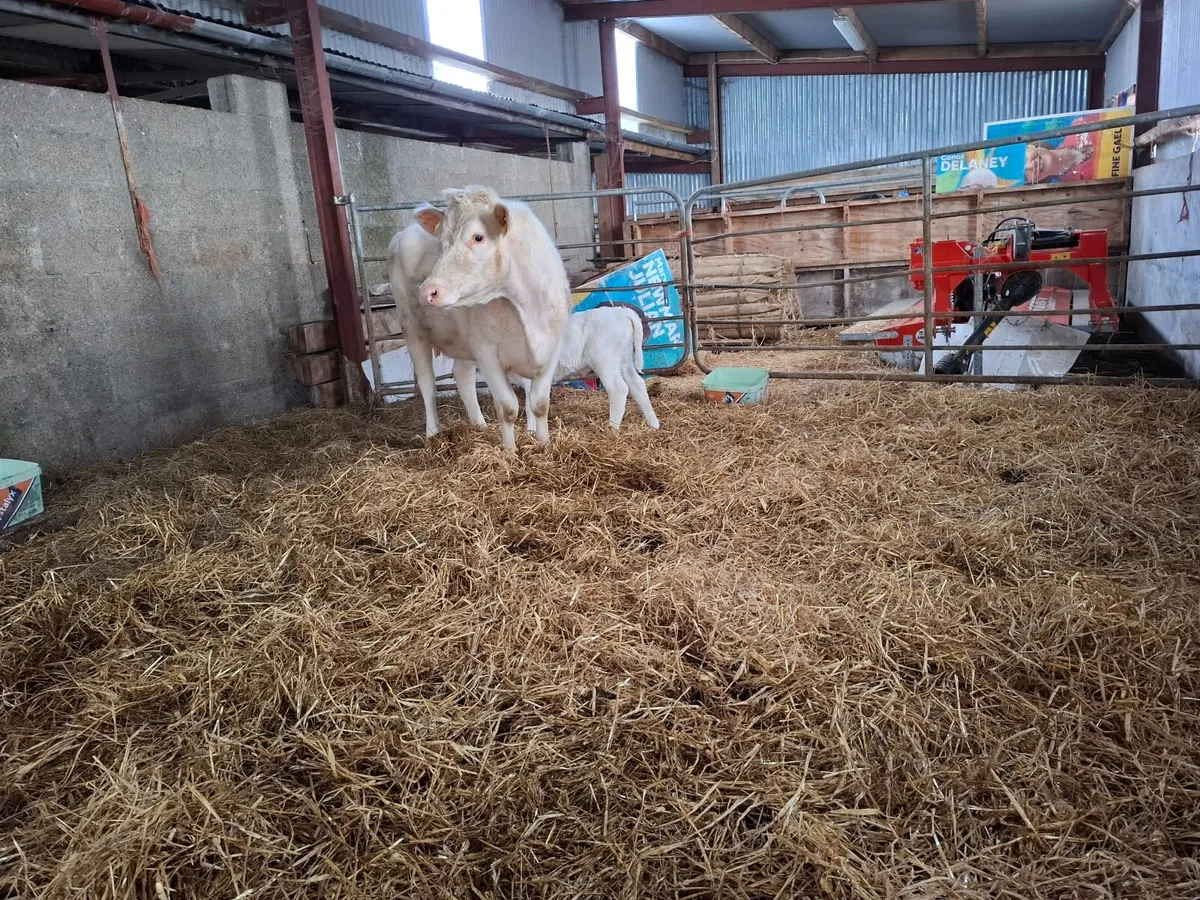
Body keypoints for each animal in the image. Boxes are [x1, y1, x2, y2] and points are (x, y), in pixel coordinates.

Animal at [386, 186, 570, 451]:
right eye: (440, 240)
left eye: (478, 237)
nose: (427, 291)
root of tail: (403, 233)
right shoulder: (488, 353)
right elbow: (508, 407)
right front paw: (510, 452)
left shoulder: (551, 349)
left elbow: (540, 404)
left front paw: (543, 444)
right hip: (412, 329)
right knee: (427, 383)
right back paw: (432, 433)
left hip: (463, 338)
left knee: (461, 374)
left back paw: (479, 425)